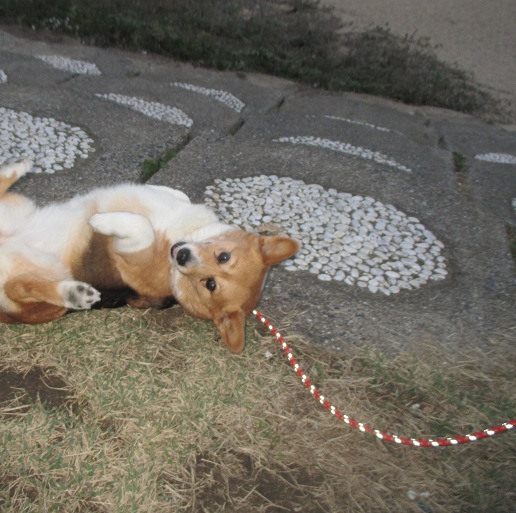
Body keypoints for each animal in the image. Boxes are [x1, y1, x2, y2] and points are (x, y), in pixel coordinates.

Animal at [0, 159, 298, 352]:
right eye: (223, 256)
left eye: (209, 284)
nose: (182, 256)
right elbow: (177, 194)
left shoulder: (134, 257)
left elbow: (141, 226)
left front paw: (100, 221)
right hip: (19, 205)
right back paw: (18, 167)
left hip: (38, 302)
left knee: (21, 287)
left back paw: (74, 293)